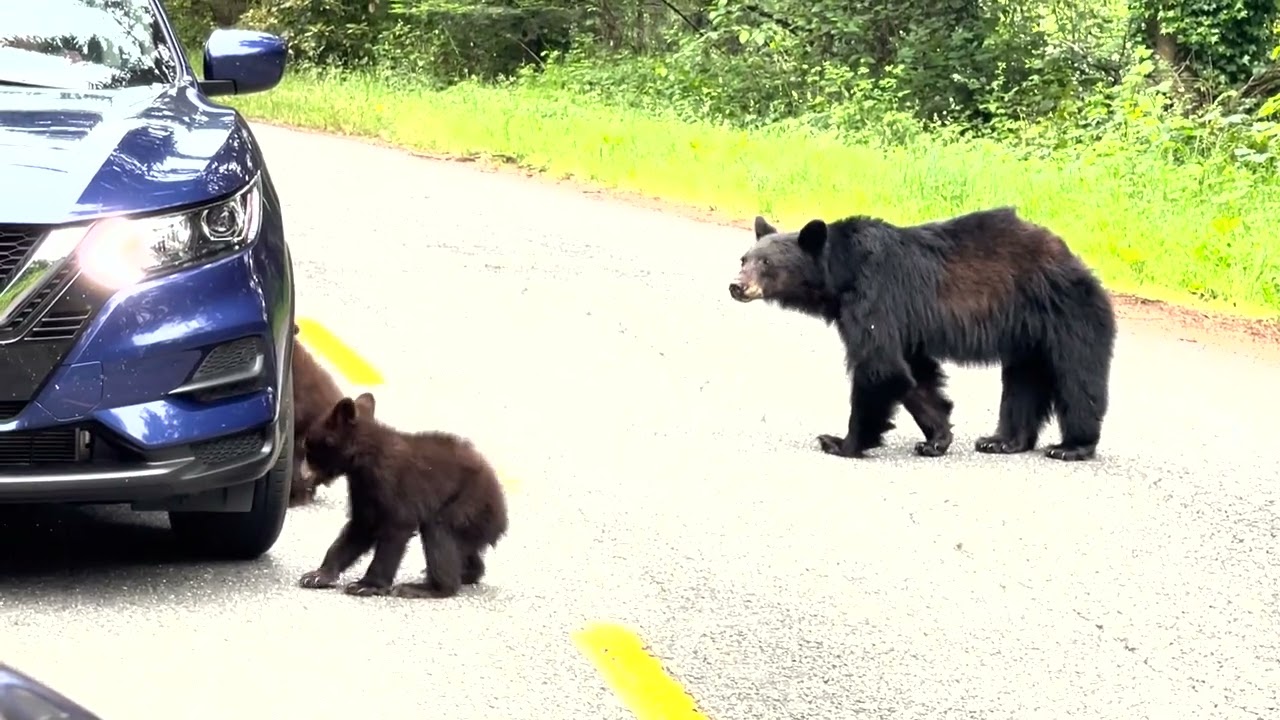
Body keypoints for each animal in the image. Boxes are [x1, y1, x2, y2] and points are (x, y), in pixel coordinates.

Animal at [297, 392, 509, 598]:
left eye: (308, 447)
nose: (302, 475)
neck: (365, 458)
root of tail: (501, 518)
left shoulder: (392, 484)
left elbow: (396, 527)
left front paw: (367, 585)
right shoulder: (362, 489)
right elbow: (360, 527)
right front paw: (318, 575)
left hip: (468, 504)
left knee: (439, 533)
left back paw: (426, 588)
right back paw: (466, 573)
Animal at [728, 206, 1116, 461]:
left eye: (767, 263)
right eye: (744, 259)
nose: (736, 286)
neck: (842, 274)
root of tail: (1079, 263)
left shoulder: (875, 298)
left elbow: (879, 366)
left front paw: (840, 442)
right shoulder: (901, 322)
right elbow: (913, 376)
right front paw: (937, 438)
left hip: (1068, 317)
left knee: (1078, 380)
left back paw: (1071, 446)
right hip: (1028, 337)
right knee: (1022, 383)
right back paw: (1002, 440)